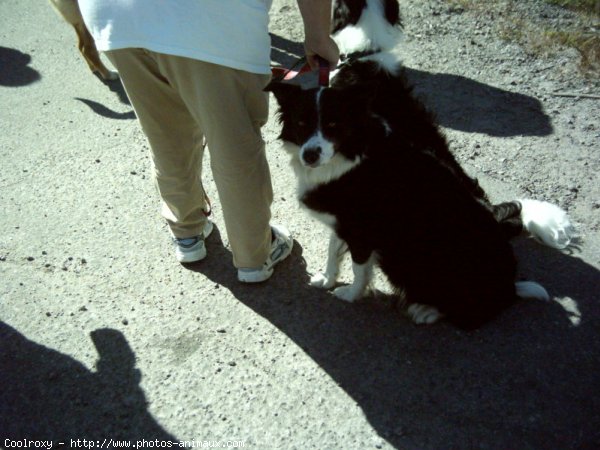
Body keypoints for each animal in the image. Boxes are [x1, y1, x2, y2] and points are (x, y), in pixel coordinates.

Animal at [266, 0, 572, 330]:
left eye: (334, 125)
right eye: (301, 123)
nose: (310, 155)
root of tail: (507, 288)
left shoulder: (363, 228)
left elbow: (359, 267)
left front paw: (350, 294)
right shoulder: (343, 221)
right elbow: (333, 252)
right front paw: (326, 280)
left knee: (470, 315)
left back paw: (426, 310)